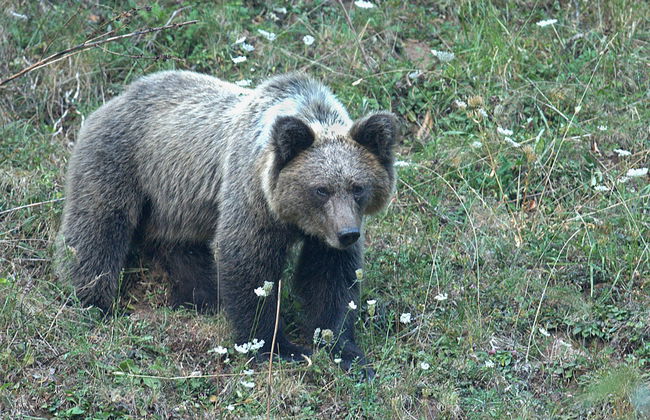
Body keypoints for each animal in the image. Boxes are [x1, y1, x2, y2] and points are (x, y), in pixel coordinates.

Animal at [57, 70, 397, 376]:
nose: (347, 234)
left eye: (358, 187)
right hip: (121, 162)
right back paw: (92, 300)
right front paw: (277, 347)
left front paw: (345, 352)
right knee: (97, 227)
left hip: (178, 203)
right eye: (321, 189)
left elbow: (332, 279)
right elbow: (248, 262)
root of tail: (113, 99)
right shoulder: (251, 194)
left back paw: (200, 298)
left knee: (182, 248)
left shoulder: (324, 234)